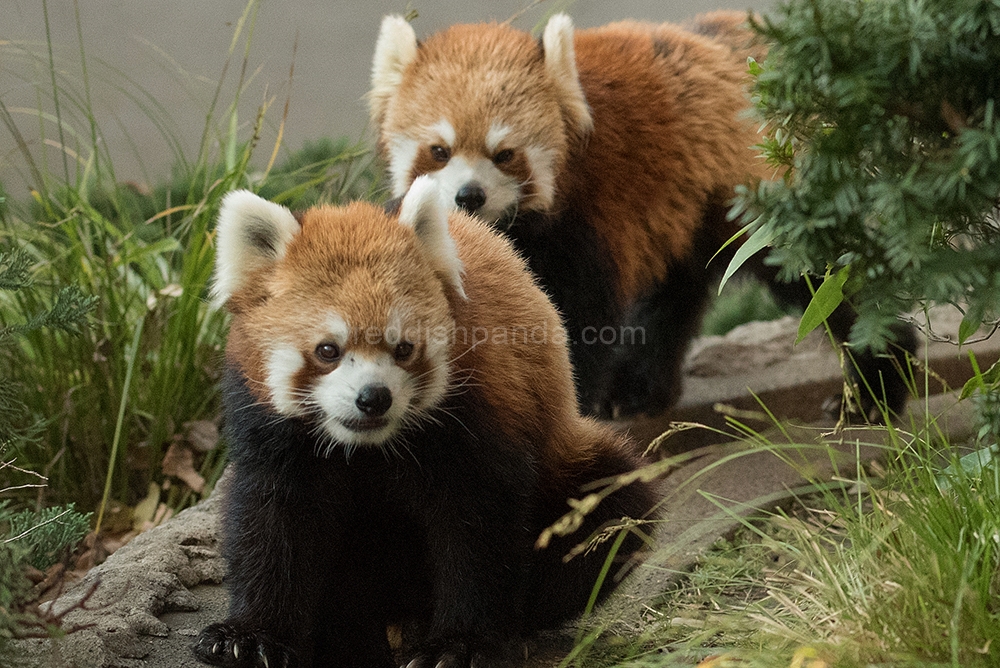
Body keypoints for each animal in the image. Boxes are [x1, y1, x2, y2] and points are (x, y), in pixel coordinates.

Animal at [192, 179, 660, 668]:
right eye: (327, 351)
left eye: (403, 348)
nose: (374, 398)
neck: (369, 447)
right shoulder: (268, 427)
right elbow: (273, 525)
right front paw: (250, 636)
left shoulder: (478, 412)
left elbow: (478, 532)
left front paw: (461, 643)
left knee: (612, 504)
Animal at [368, 10, 916, 422]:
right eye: (439, 151)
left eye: (504, 154)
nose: (470, 196)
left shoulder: (588, 221)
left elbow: (576, 319)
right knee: (673, 296)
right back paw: (640, 390)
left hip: (762, 191)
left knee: (820, 279)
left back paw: (876, 387)